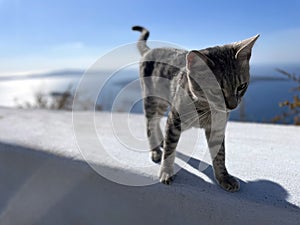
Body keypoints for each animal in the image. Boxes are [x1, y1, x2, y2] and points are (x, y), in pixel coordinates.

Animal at [132, 25, 258, 192]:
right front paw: (166, 172)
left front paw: (224, 177)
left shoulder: (217, 128)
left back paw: (160, 142)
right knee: (150, 123)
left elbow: (220, 155)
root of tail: (150, 50)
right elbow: (170, 150)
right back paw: (155, 149)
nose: (232, 106)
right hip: (152, 100)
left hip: (162, 103)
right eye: (216, 91)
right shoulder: (174, 120)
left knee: (156, 121)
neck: (204, 108)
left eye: (242, 87)